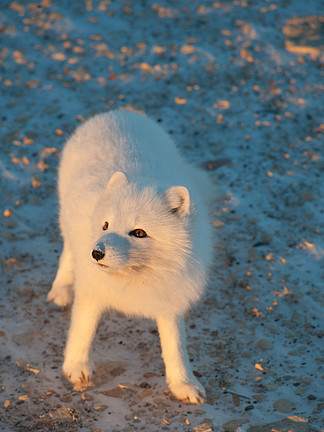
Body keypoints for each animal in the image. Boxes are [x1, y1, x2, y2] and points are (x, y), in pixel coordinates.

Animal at [48, 109, 214, 404]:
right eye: (105, 225)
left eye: (139, 233)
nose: (96, 253)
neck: (134, 276)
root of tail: (117, 113)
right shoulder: (92, 289)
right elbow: (82, 329)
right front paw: (76, 367)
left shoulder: (169, 299)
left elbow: (175, 345)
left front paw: (183, 383)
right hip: (66, 219)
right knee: (67, 251)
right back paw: (62, 288)